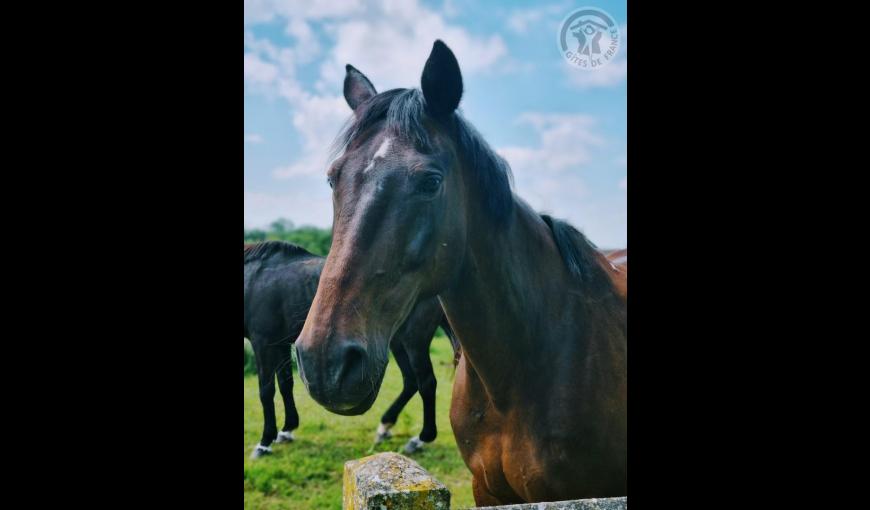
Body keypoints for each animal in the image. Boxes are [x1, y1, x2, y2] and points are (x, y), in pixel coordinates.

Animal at [240, 241, 454, 460]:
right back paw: (385, 427)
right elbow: (285, 385)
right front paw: (287, 430)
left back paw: (419, 440)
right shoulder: (279, 344)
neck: (254, 279)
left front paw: (265, 442)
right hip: (396, 343)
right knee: (410, 382)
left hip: (413, 341)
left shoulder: (262, 343)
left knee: (426, 382)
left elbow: (266, 391)